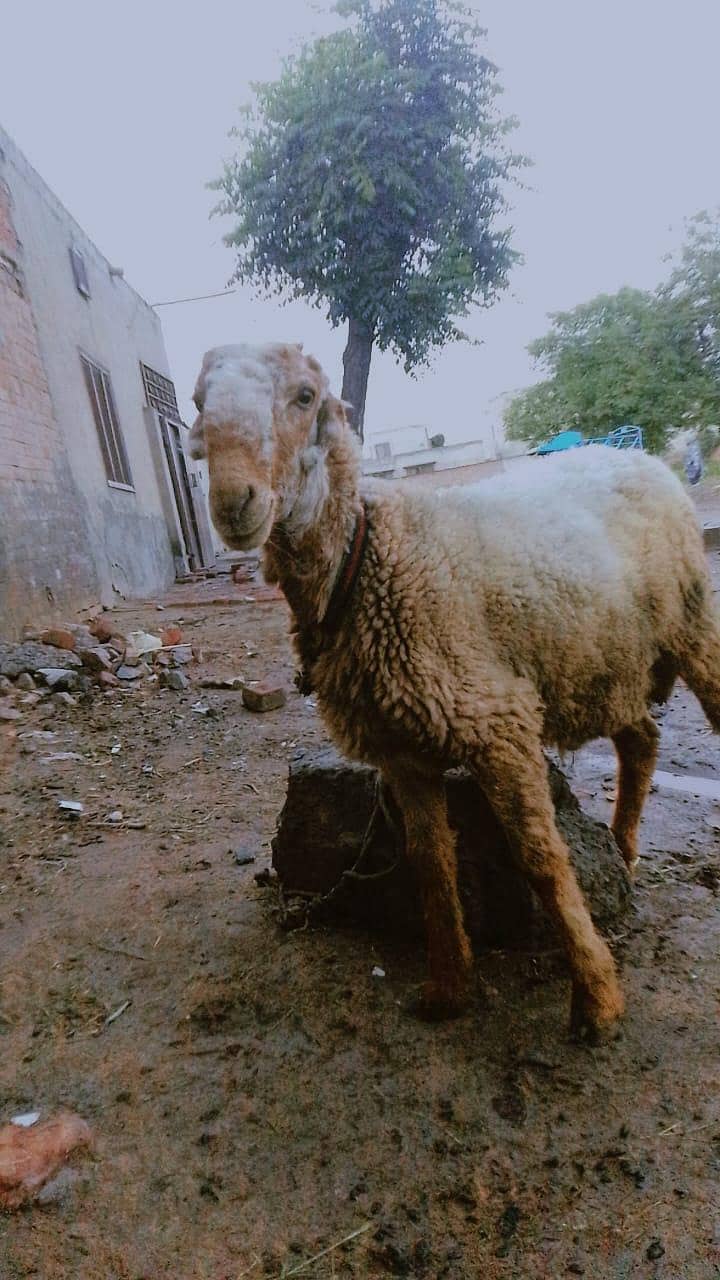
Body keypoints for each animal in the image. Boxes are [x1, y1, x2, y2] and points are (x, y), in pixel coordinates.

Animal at [189, 341, 720, 1039]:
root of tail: (636, 453)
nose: (234, 502)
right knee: (642, 741)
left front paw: (597, 999)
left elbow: (542, 860)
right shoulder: (402, 751)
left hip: (691, 624)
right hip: (604, 663)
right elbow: (430, 863)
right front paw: (449, 987)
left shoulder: (499, 721)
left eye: (305, 397)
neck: (366, 558)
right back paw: (625, 852)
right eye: (199, 401)